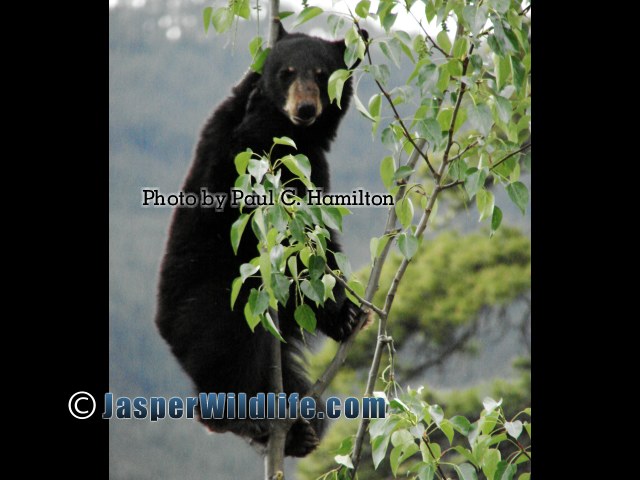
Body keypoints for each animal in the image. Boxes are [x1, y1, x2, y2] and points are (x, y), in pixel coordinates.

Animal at [155, 21, 367, 457]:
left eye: (321, 73)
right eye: (286, 72)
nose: (305, 109)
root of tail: (165, 329)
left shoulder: (309, 161)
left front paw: (347, 316)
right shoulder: (263, 153)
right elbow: (304, 240)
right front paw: (342, 307)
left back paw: (300, 431)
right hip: (222, 304)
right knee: (231, 357)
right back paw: (244, 419)